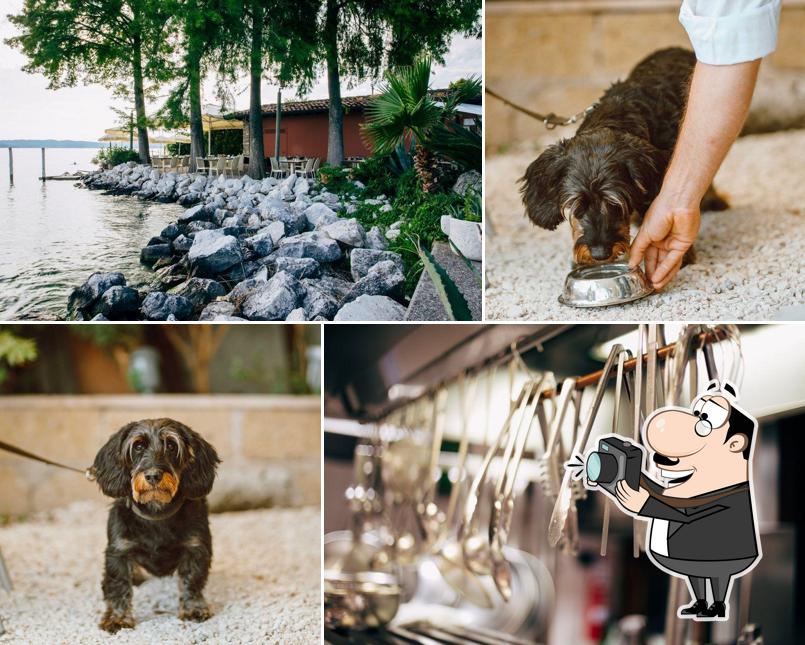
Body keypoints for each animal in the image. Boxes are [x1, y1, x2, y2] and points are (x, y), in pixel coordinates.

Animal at [92, 418, 220, 632]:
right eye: (138, 446)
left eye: (171, 445)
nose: (153, 476)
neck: (156, 513)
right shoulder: (119, 551)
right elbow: (118, 585)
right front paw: (117, 618)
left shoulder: (195, 548)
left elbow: (192, 580)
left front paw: (193, 608)